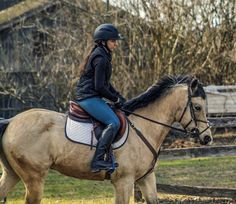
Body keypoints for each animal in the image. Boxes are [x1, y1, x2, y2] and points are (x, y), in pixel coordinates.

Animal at [0, 75, 212, 204]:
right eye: (198, 107)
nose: (207, 138)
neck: (143, 126)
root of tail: (11, 121)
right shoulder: (124, 182)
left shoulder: (145, 178)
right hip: (34, 178)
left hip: (13, 174)